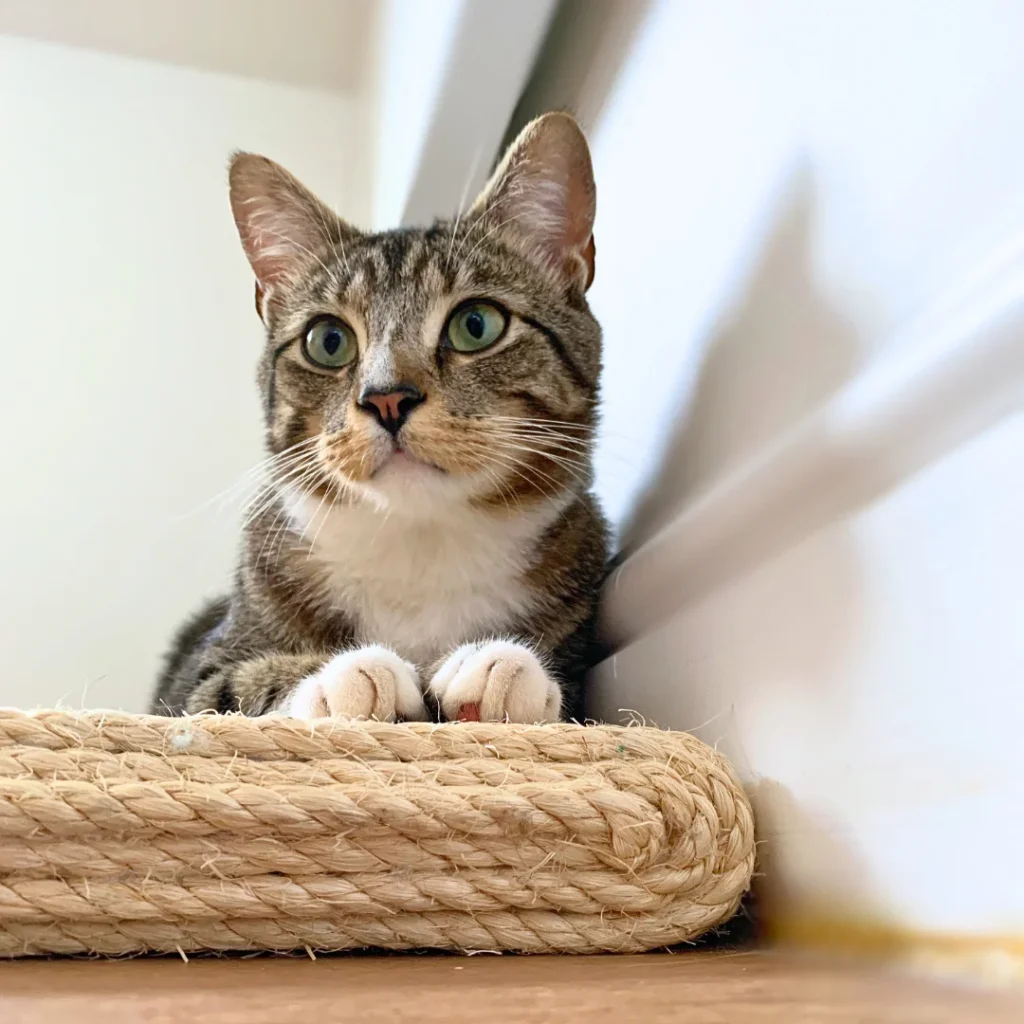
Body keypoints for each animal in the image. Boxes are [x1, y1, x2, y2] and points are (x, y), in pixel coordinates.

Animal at [153, 112, 606, 724]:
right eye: (328, 340)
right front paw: (346, 675)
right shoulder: (185, 686)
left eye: (476, 324)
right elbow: (228, 687)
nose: (387, 398)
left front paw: (504, 670)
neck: (419, 546)